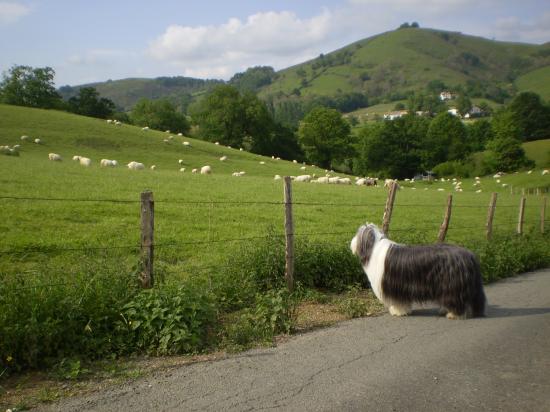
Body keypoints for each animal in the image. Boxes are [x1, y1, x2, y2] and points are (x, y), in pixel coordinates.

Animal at [354, 222, 488, 318]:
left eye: (358, 233)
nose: (352, 242)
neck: (374, 247)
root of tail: (469, 255)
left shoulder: (395, 286)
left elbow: (398, 301)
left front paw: (398, 311)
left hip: (452, 285)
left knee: (458, 299)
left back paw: (453, 314)